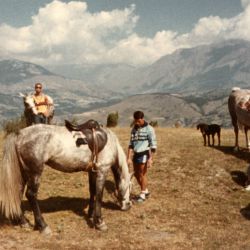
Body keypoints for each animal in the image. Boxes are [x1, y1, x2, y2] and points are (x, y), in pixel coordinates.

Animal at [0, 125, 133, 234]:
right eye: (129, 187)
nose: (128, 206)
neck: (110, 143)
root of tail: (20, 134)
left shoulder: (92, 171)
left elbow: (93, 192)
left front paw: (90, 214)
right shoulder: (102, 170)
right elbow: (99, 195)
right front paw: (100, 223)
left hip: (23, 173)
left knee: (18, 192)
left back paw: (24, 222)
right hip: (35, 173)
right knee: (31, 194)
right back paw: (43, 226)